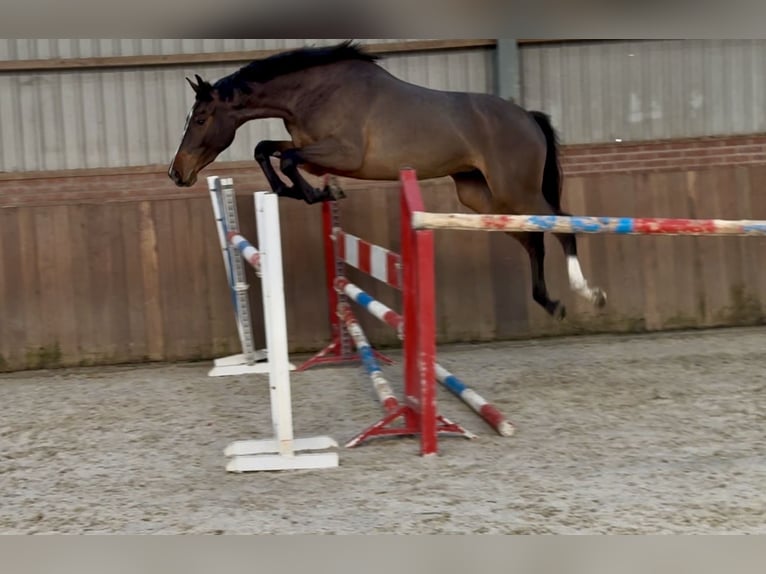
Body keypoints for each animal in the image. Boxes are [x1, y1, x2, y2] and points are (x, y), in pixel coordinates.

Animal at [168, 41, 606, 320]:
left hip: (517, 190)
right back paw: (550, 303)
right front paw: (303, 191)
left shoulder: (342, 153)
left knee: (562, 223)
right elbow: (266, 149)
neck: (314, 92)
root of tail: (528, 116)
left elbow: (287, 159)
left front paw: (319, 192)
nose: (177, 173)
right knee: (533, 239)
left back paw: (589, 293)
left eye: (201, 118)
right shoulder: (309, 146)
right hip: (482, 198)